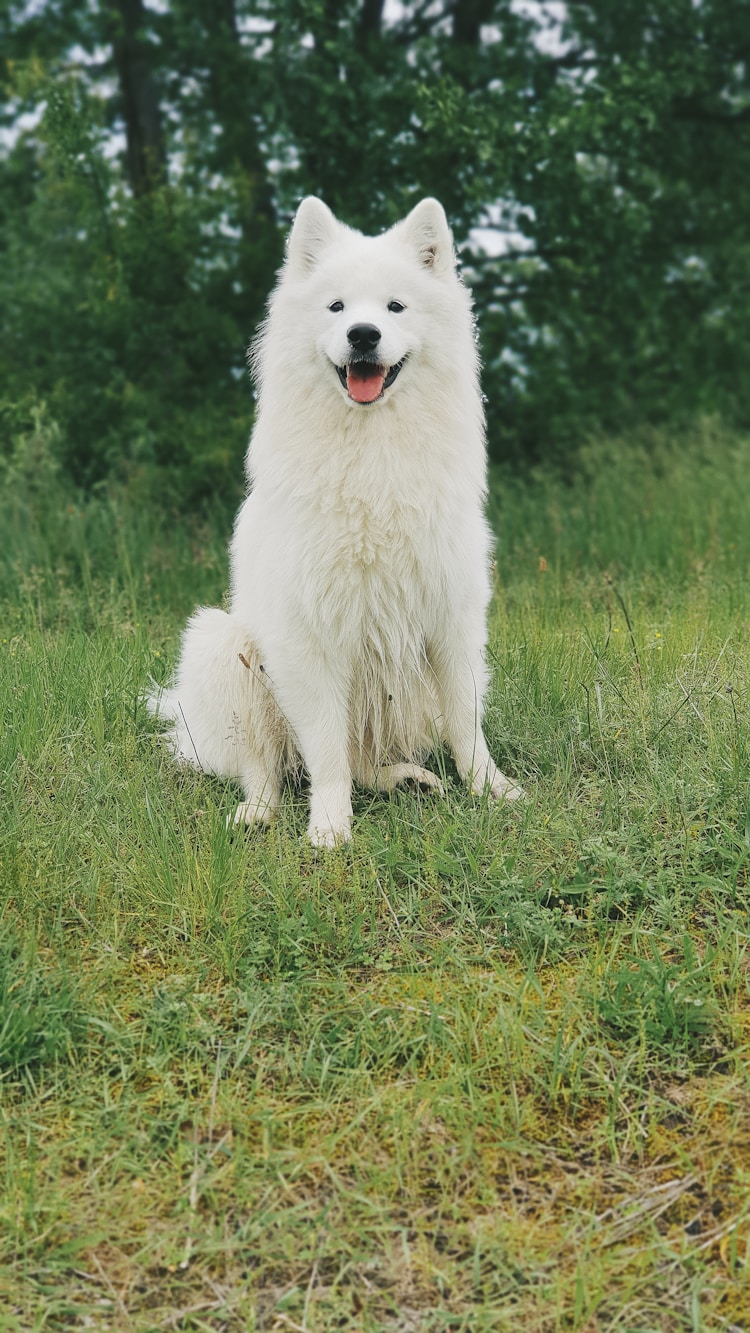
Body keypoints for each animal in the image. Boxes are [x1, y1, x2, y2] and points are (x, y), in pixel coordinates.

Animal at [152, 194, 522, 847]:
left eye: (395, 306)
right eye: (337, 307)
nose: (363, 334)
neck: (372, 455)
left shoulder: (451, 619)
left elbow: (465, 722)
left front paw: (491, 791)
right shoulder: (309, 639)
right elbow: (324, 749)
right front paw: (329, 829)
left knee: (366, 763)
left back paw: (406, 779)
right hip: (221, 645)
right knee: (266, 765)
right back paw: (258, 811)